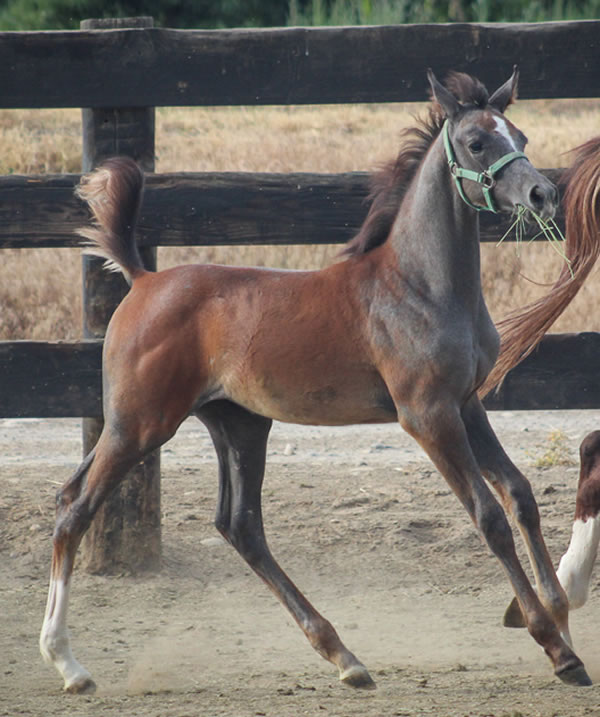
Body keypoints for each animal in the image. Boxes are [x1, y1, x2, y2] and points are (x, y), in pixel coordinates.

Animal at [38, 70, 592, 692]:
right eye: (477, 141)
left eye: (519, 135)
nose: (542, 194)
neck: (419, 285)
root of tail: (142, 280)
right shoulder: (427, 415)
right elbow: (488, 515)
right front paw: (555, 647)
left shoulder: (466, 403)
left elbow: (518, 493)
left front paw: (559, 617)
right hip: (140, 424)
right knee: (77, 510)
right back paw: (68, 664)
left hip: (231, 424)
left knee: (235, 525)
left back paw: (344, 656)